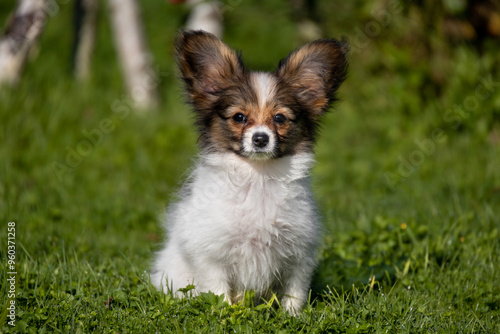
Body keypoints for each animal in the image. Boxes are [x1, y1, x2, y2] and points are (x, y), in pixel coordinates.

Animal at [152, 30, 348, 314]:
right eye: (239, 117)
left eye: (279, 119)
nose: (260, 139)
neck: (258, 177)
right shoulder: (211, 252)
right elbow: (218, 291)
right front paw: (223, 314)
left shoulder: (299, 251)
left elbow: (295, 292)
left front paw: (293, 317)